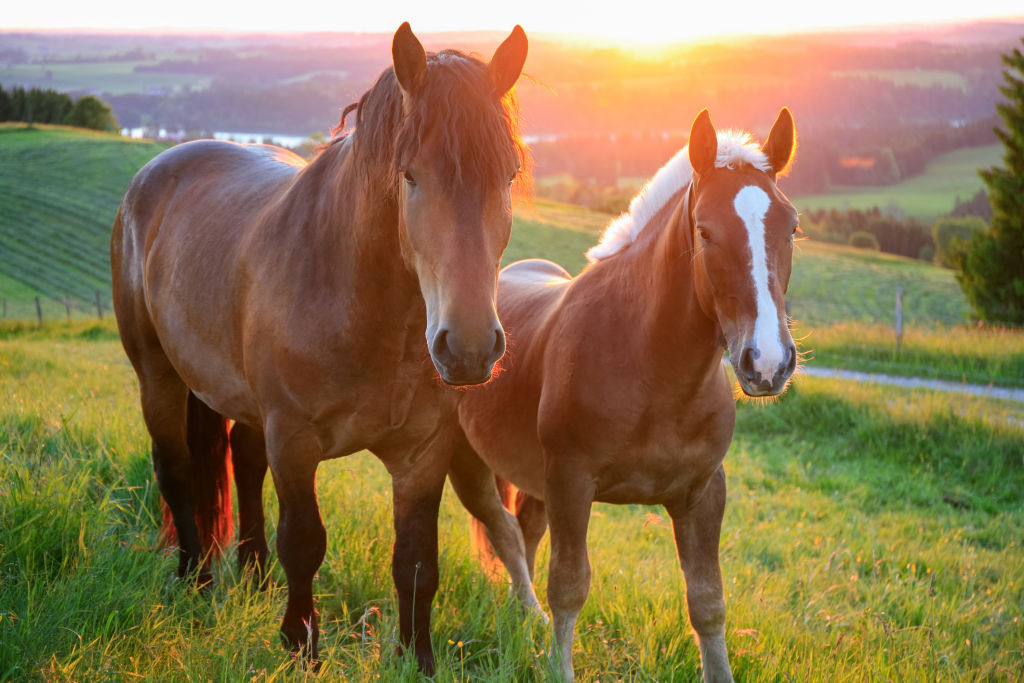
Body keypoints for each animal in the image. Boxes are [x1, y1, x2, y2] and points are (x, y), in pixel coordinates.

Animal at [111, 22, 528, 671]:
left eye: (507, 176)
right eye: (410, 175)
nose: (468, 348)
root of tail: (160, 167)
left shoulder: (422, 453)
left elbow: (416, 562)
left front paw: (417, 659)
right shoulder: (295, 438)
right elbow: (305, 542)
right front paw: (300, 645)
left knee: (244, 464)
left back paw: (253, 577)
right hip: (159, 376)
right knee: (176, 469)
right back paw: (196, 580)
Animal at [448, 109, 798, 679]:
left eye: (792, 227)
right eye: (705, 231)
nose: (767, 362)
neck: (650, 370)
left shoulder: (703, 493)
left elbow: (708, 601)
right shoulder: (571, 483)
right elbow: (569, 587)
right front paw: (558, 667)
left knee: (524, 531)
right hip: (466, 462)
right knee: (504, 534)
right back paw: (528, 617)